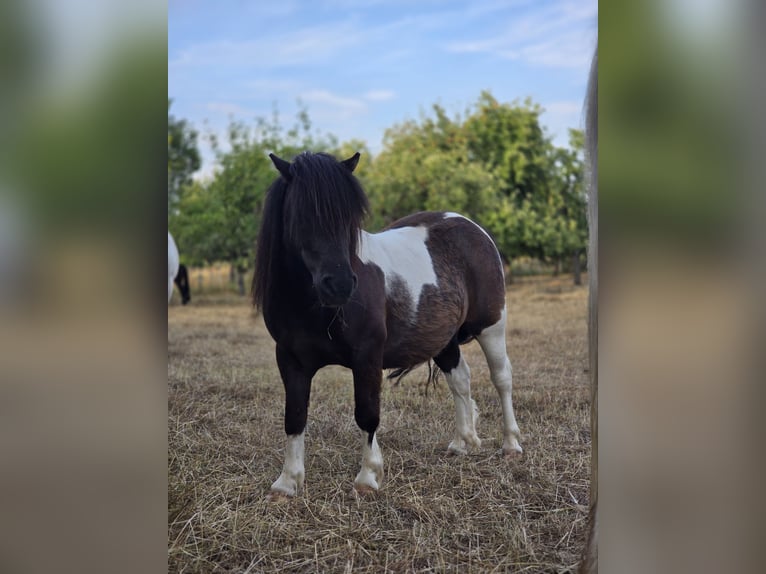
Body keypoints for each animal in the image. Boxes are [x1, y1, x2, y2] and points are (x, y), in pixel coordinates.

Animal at [252, 150, 522, 497]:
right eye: (301, 214)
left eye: (350, 218)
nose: (340, 285)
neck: (311, 305)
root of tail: (472, 227)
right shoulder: (290, 359)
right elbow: (295, 416)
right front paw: (287, 482)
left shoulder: (367, 356)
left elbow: (367, 413)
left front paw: (368, 476)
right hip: (443, 339)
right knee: (460, 379)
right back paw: (462, 442)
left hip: (491, 325)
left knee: (502, 378)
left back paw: (511, 444)